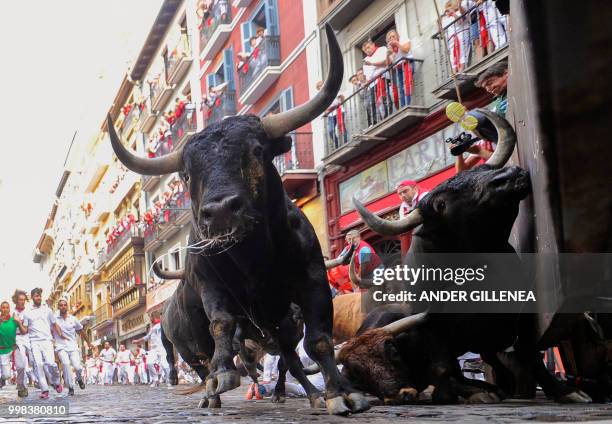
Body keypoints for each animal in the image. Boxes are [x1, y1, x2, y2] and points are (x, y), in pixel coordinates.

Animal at [107, 24, 368, 416]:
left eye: (257, 151)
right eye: (186, 173)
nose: (219, 210)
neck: (252, 258)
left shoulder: (312, 281)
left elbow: (318, 342)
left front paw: (339, 392)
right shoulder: (212, 288)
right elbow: (222, 327)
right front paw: (223, 376)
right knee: (205, 360)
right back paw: (213, 388)